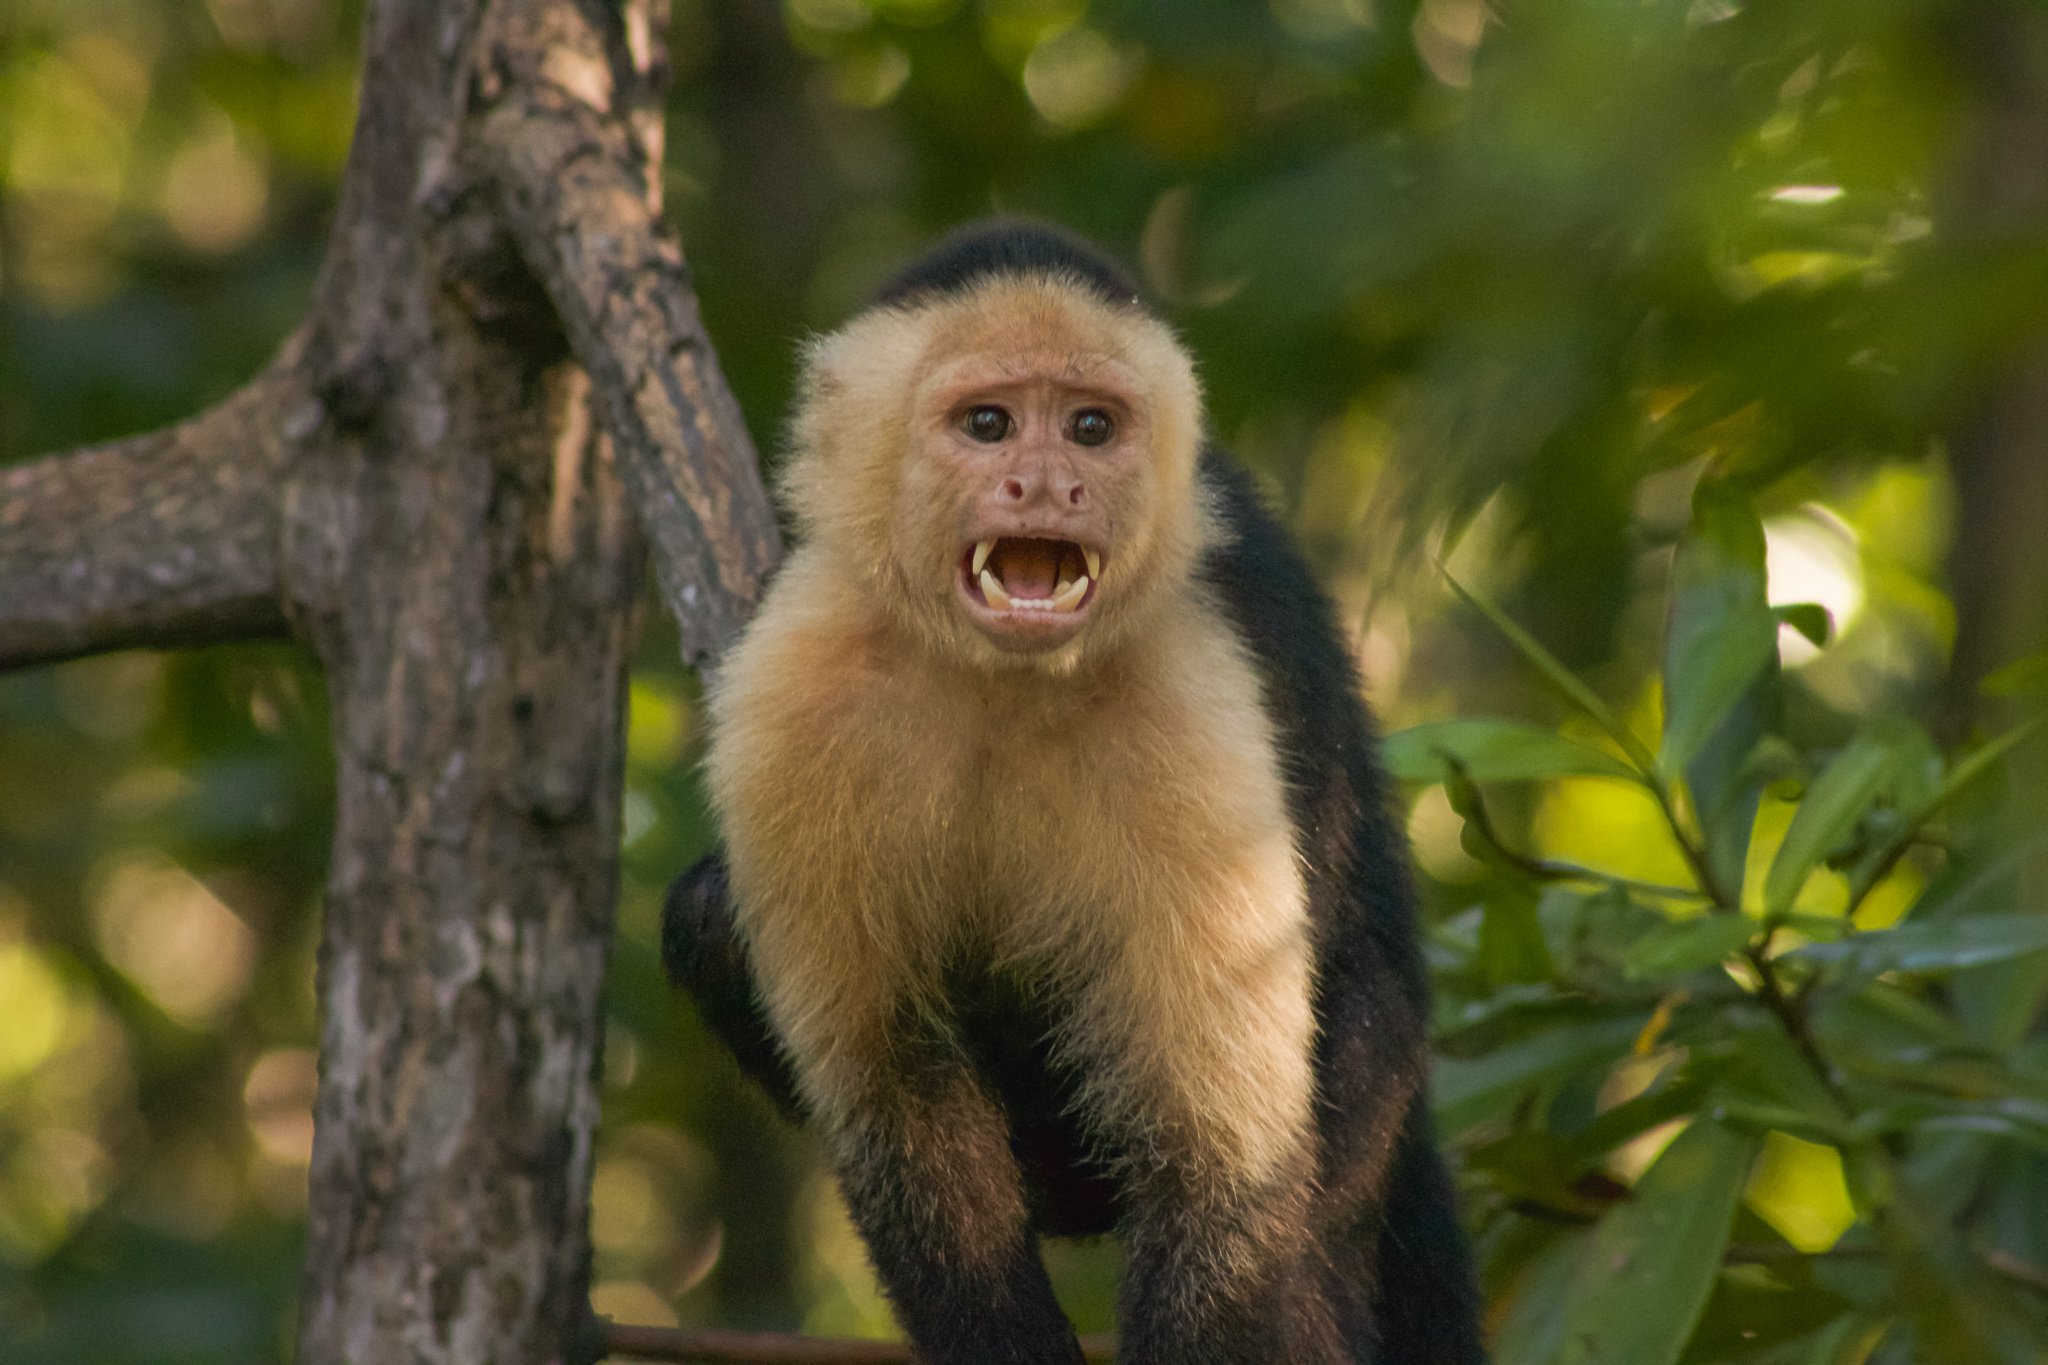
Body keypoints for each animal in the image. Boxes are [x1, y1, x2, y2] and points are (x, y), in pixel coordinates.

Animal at [663, 218, 1482, 1358]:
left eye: (1091, 427)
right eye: (989, 424)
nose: (1050, 486)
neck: (1000, 677)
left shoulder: (1190, 696)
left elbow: (1213, 1172)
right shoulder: (793, 692)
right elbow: (901, 1109)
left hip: (1377, 1105)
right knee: (708, 913)